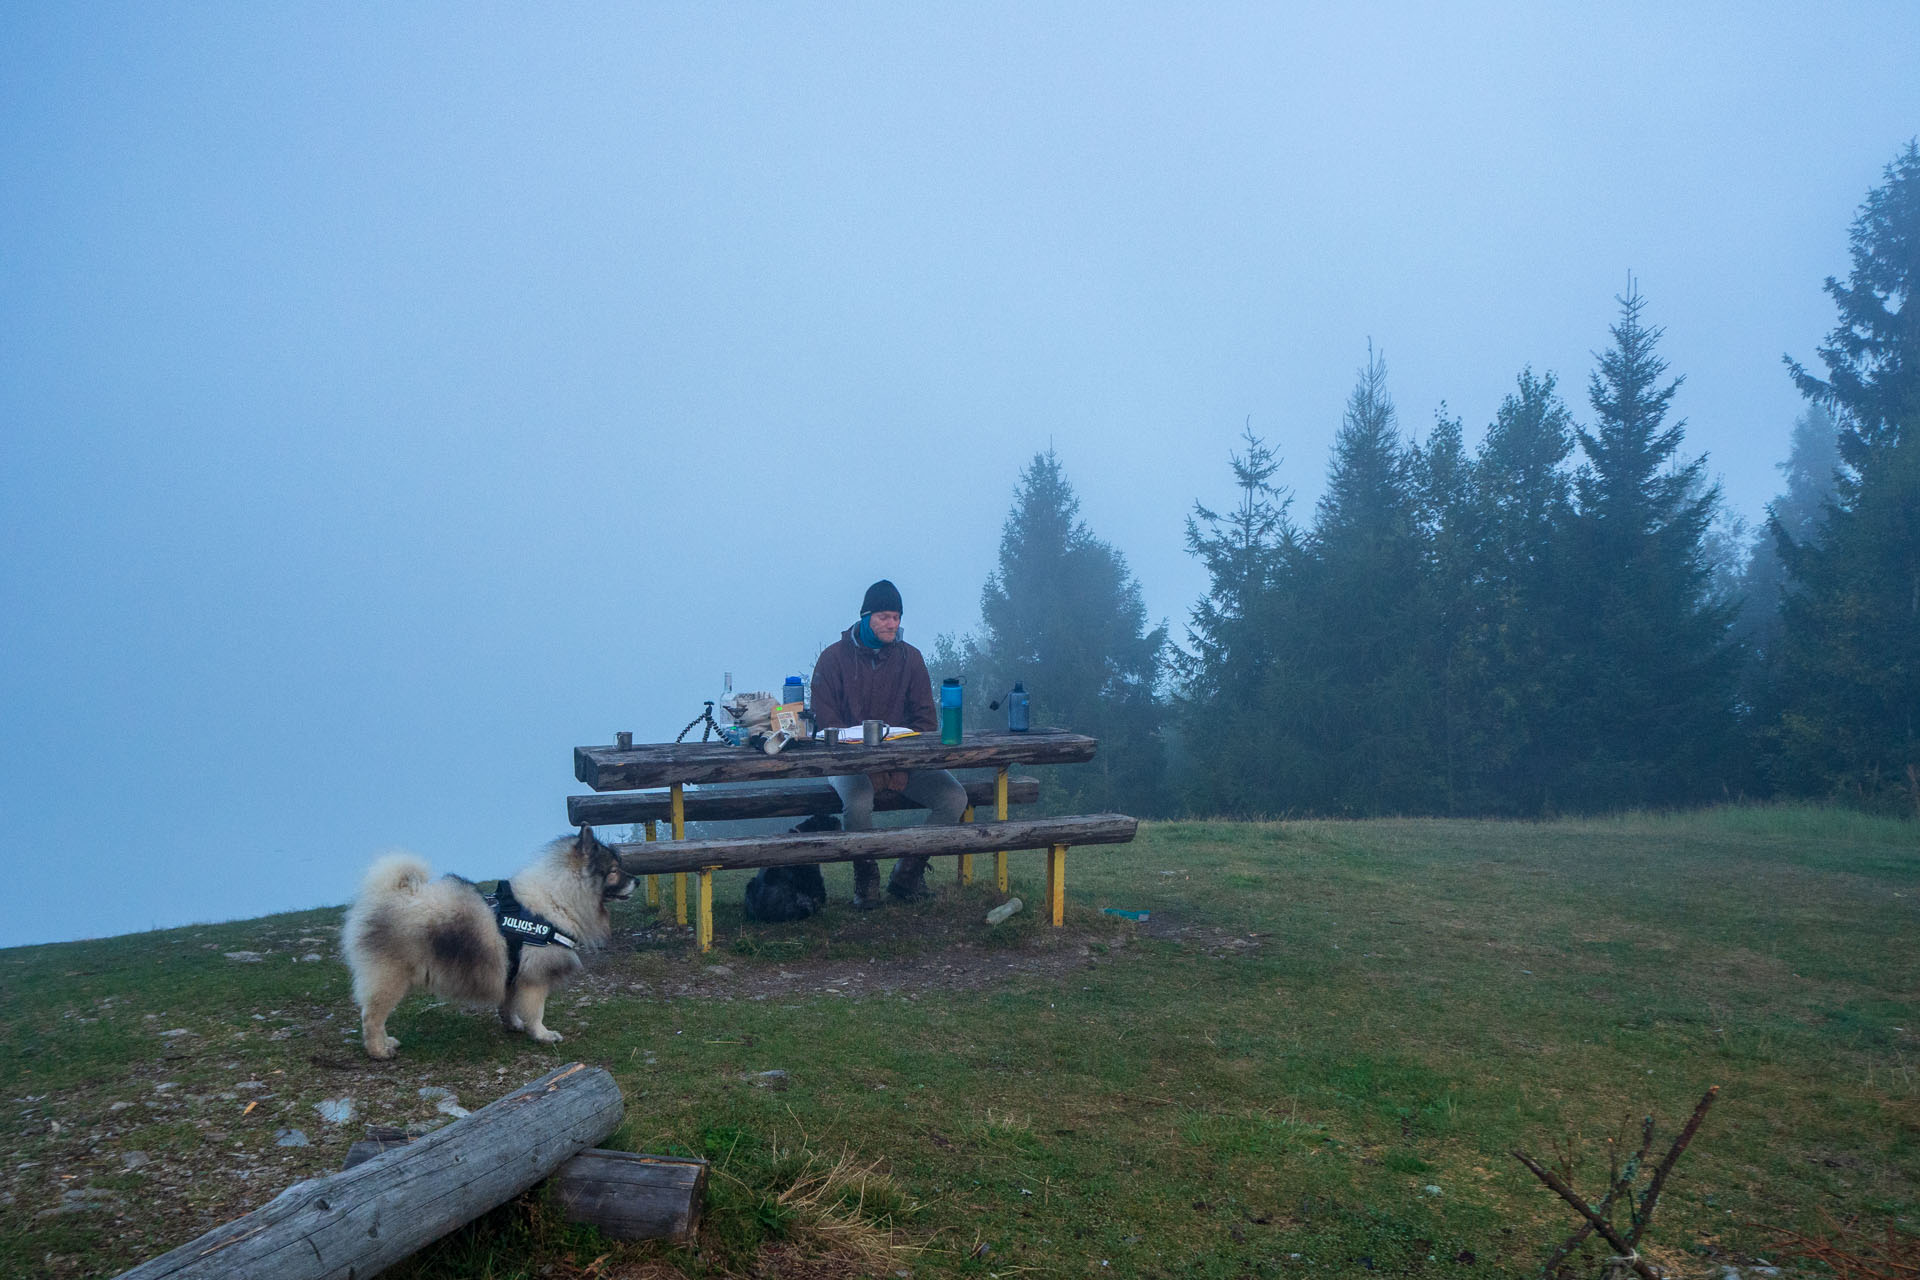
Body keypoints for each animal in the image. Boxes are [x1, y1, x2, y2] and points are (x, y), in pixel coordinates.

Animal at [341, 825, 633, 1059]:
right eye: (614, 871)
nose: (637, 881)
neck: (557, 900)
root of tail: (388, 895)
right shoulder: (534, 979)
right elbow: (535, 1011)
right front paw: (542, 1034)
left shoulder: (512, 974)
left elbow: (508, 1005)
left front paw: (513, 1025)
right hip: (390, 978)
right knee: (372, 1017)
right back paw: (379, 1051)